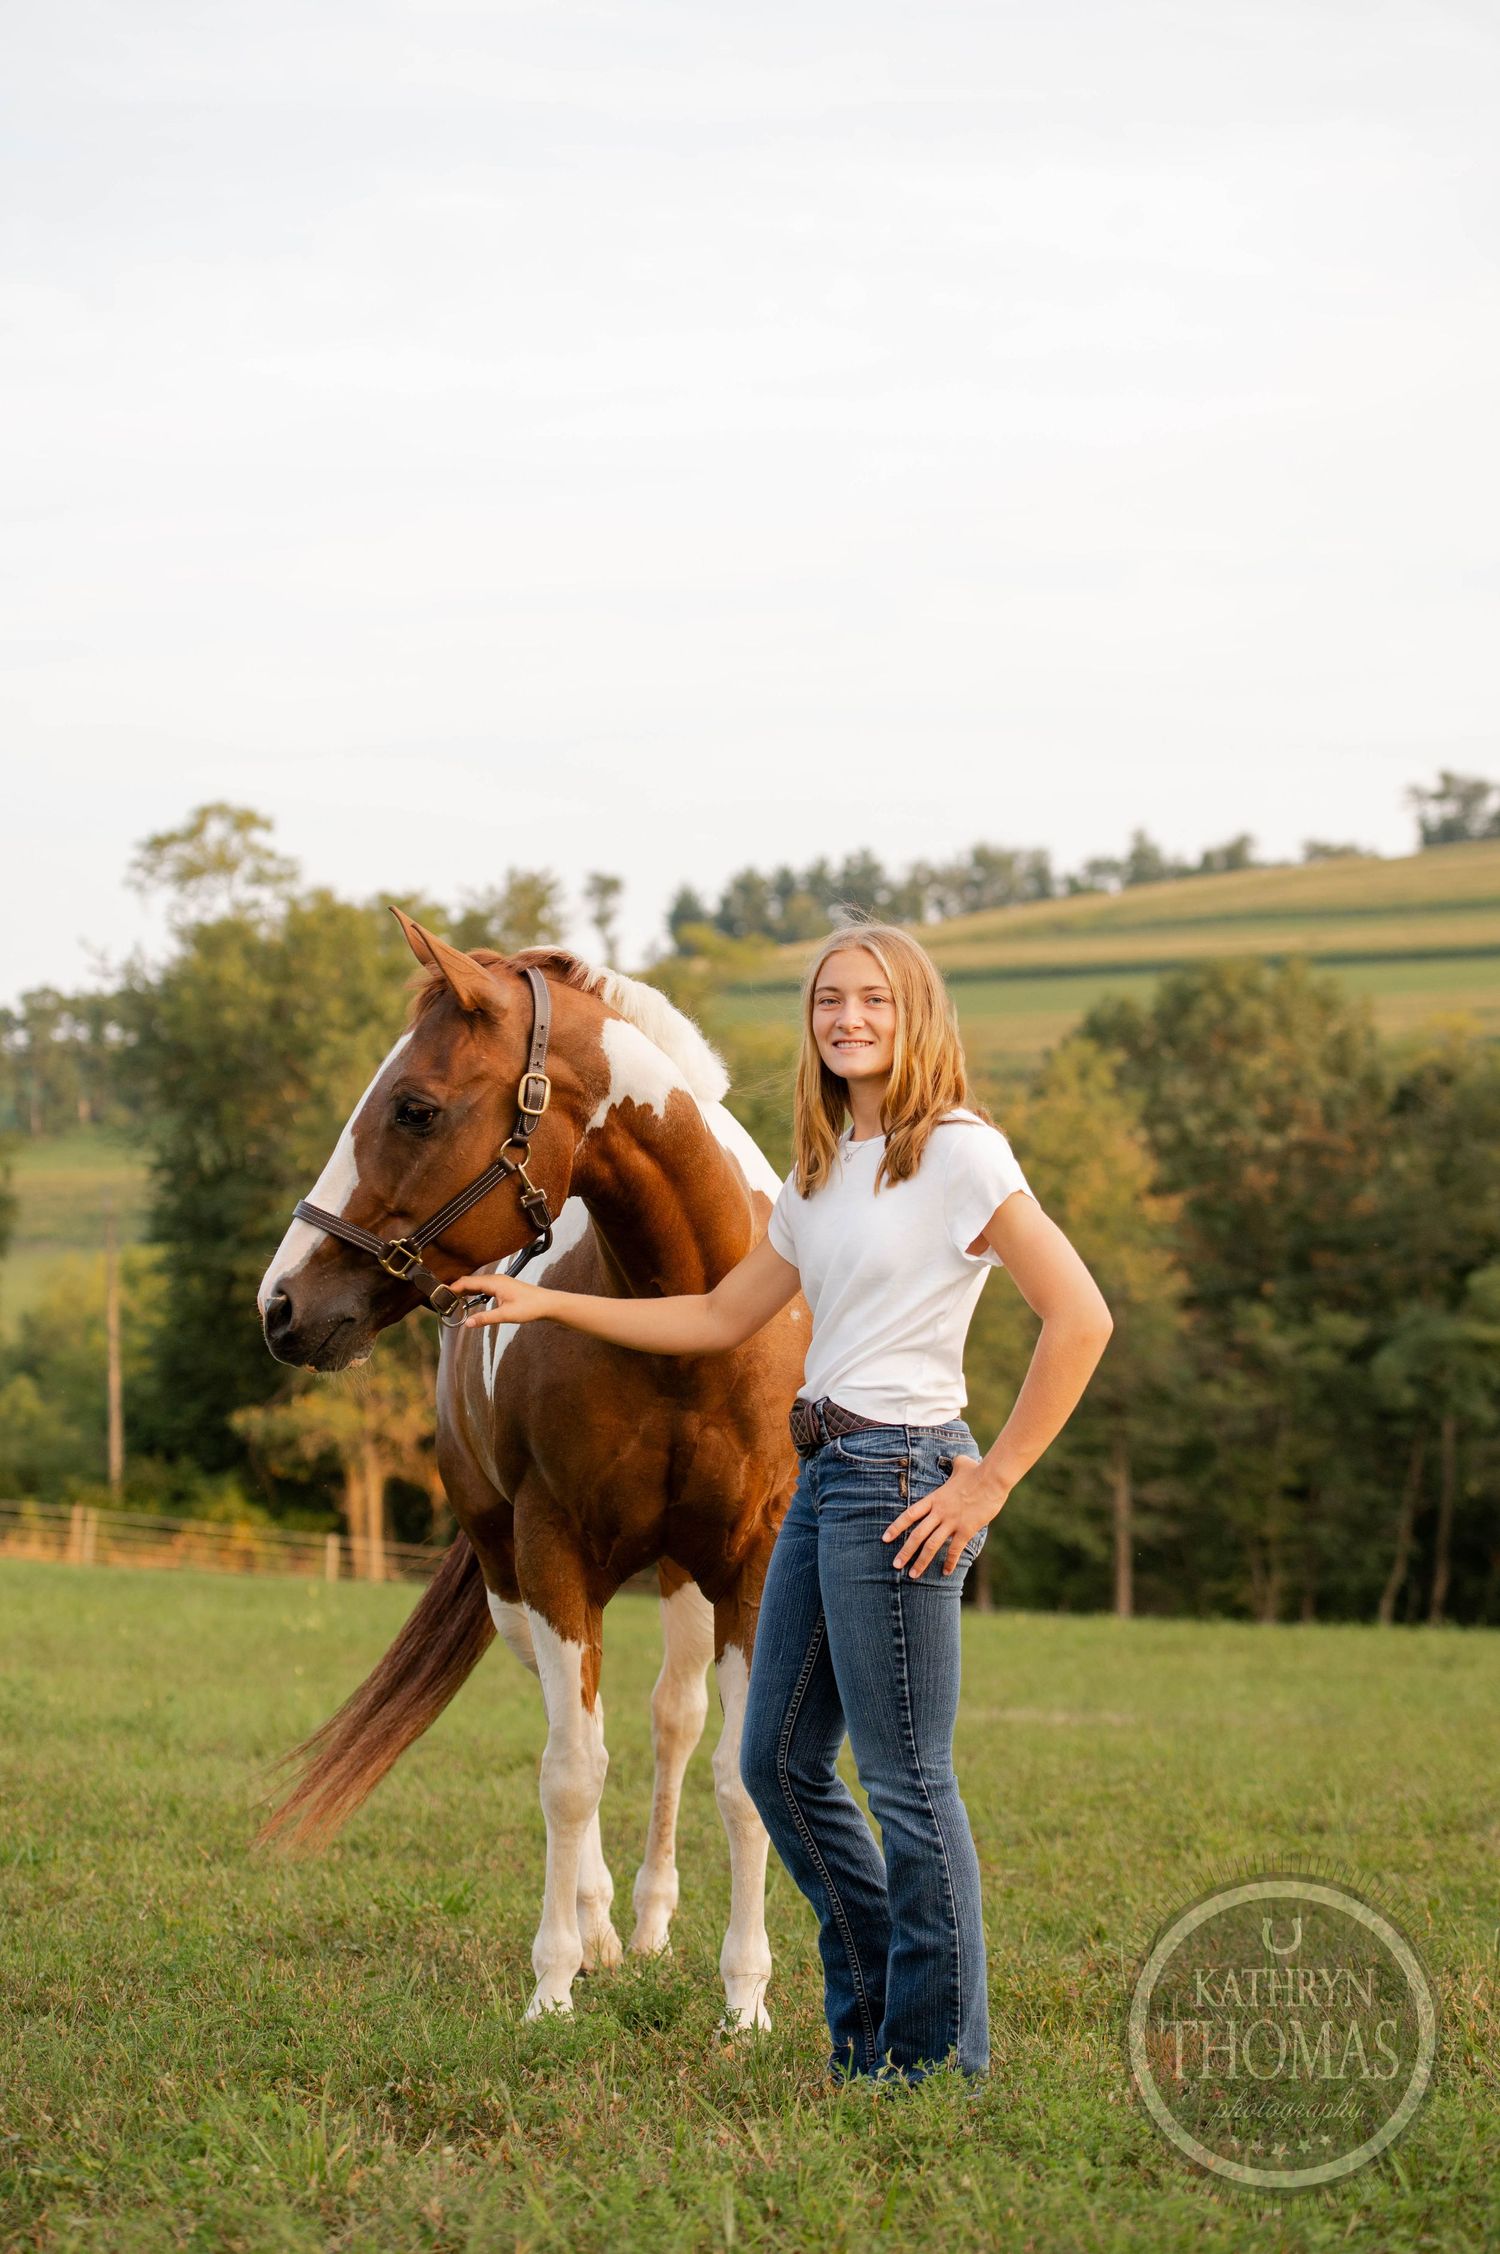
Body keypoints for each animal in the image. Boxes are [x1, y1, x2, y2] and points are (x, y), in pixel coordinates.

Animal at [254, 906, 807, 2034]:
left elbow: (736, 1775)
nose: (280, 1304)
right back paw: (597, 1931)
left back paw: (648, 1919)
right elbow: (568, 1772)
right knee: (576, 1731)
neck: (686, 1316)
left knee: (671, 1719)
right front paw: (553, 1979)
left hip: (683, 1581)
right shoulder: (554, 1554)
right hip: (515, 1579)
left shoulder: (750, 1560)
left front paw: (745, 2001)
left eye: (415, 1108)